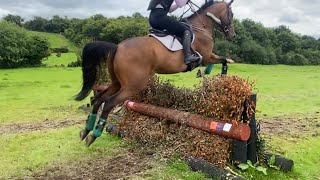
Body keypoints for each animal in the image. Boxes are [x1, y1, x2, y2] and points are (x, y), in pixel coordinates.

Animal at [74, 0, 235, 146]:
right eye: (231, 14)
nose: (232, 35)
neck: (201, 27)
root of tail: (118, 47)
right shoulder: (206, 57)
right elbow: (223, 60)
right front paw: (220, 75)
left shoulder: (208, 57)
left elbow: (224, 60)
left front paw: (211, 74)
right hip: (132, 86)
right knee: (108, 103)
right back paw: (94, 135)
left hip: (117, 83)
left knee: (98, 99)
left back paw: (86, 131)